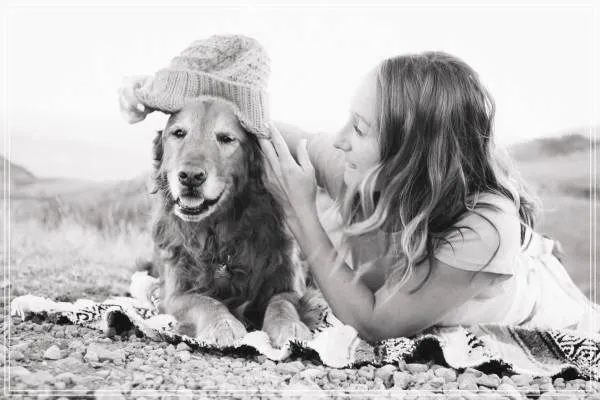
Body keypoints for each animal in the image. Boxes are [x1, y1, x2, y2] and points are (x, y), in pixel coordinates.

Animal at [145, 97, 319, 348]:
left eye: (226, 138)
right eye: (178, 133)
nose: (190, 176)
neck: (220, 236)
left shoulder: (290, 283)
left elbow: (282, 303)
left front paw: (291, 327)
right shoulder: (173, 295)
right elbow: (205, 301)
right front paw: (223, 324)